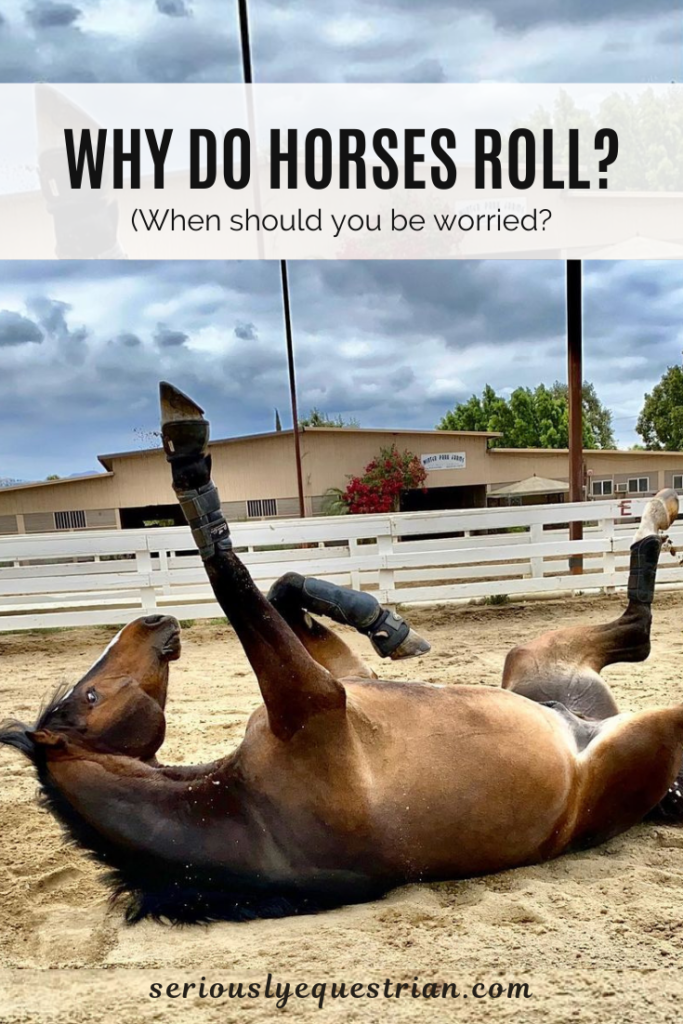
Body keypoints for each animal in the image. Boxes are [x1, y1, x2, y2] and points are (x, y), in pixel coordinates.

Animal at [2, 381, 683, 925]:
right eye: (90, 695)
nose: (152, 621)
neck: (240, 810)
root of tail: (582, 722)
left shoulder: (339, 685)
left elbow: (278, 589)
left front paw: (386, 625)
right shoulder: (317, 698)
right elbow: (233, 581)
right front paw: (190, 465)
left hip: (534, 659)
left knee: (637, 629)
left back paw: (657, 509)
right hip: (639, 721)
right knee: (642, 634)